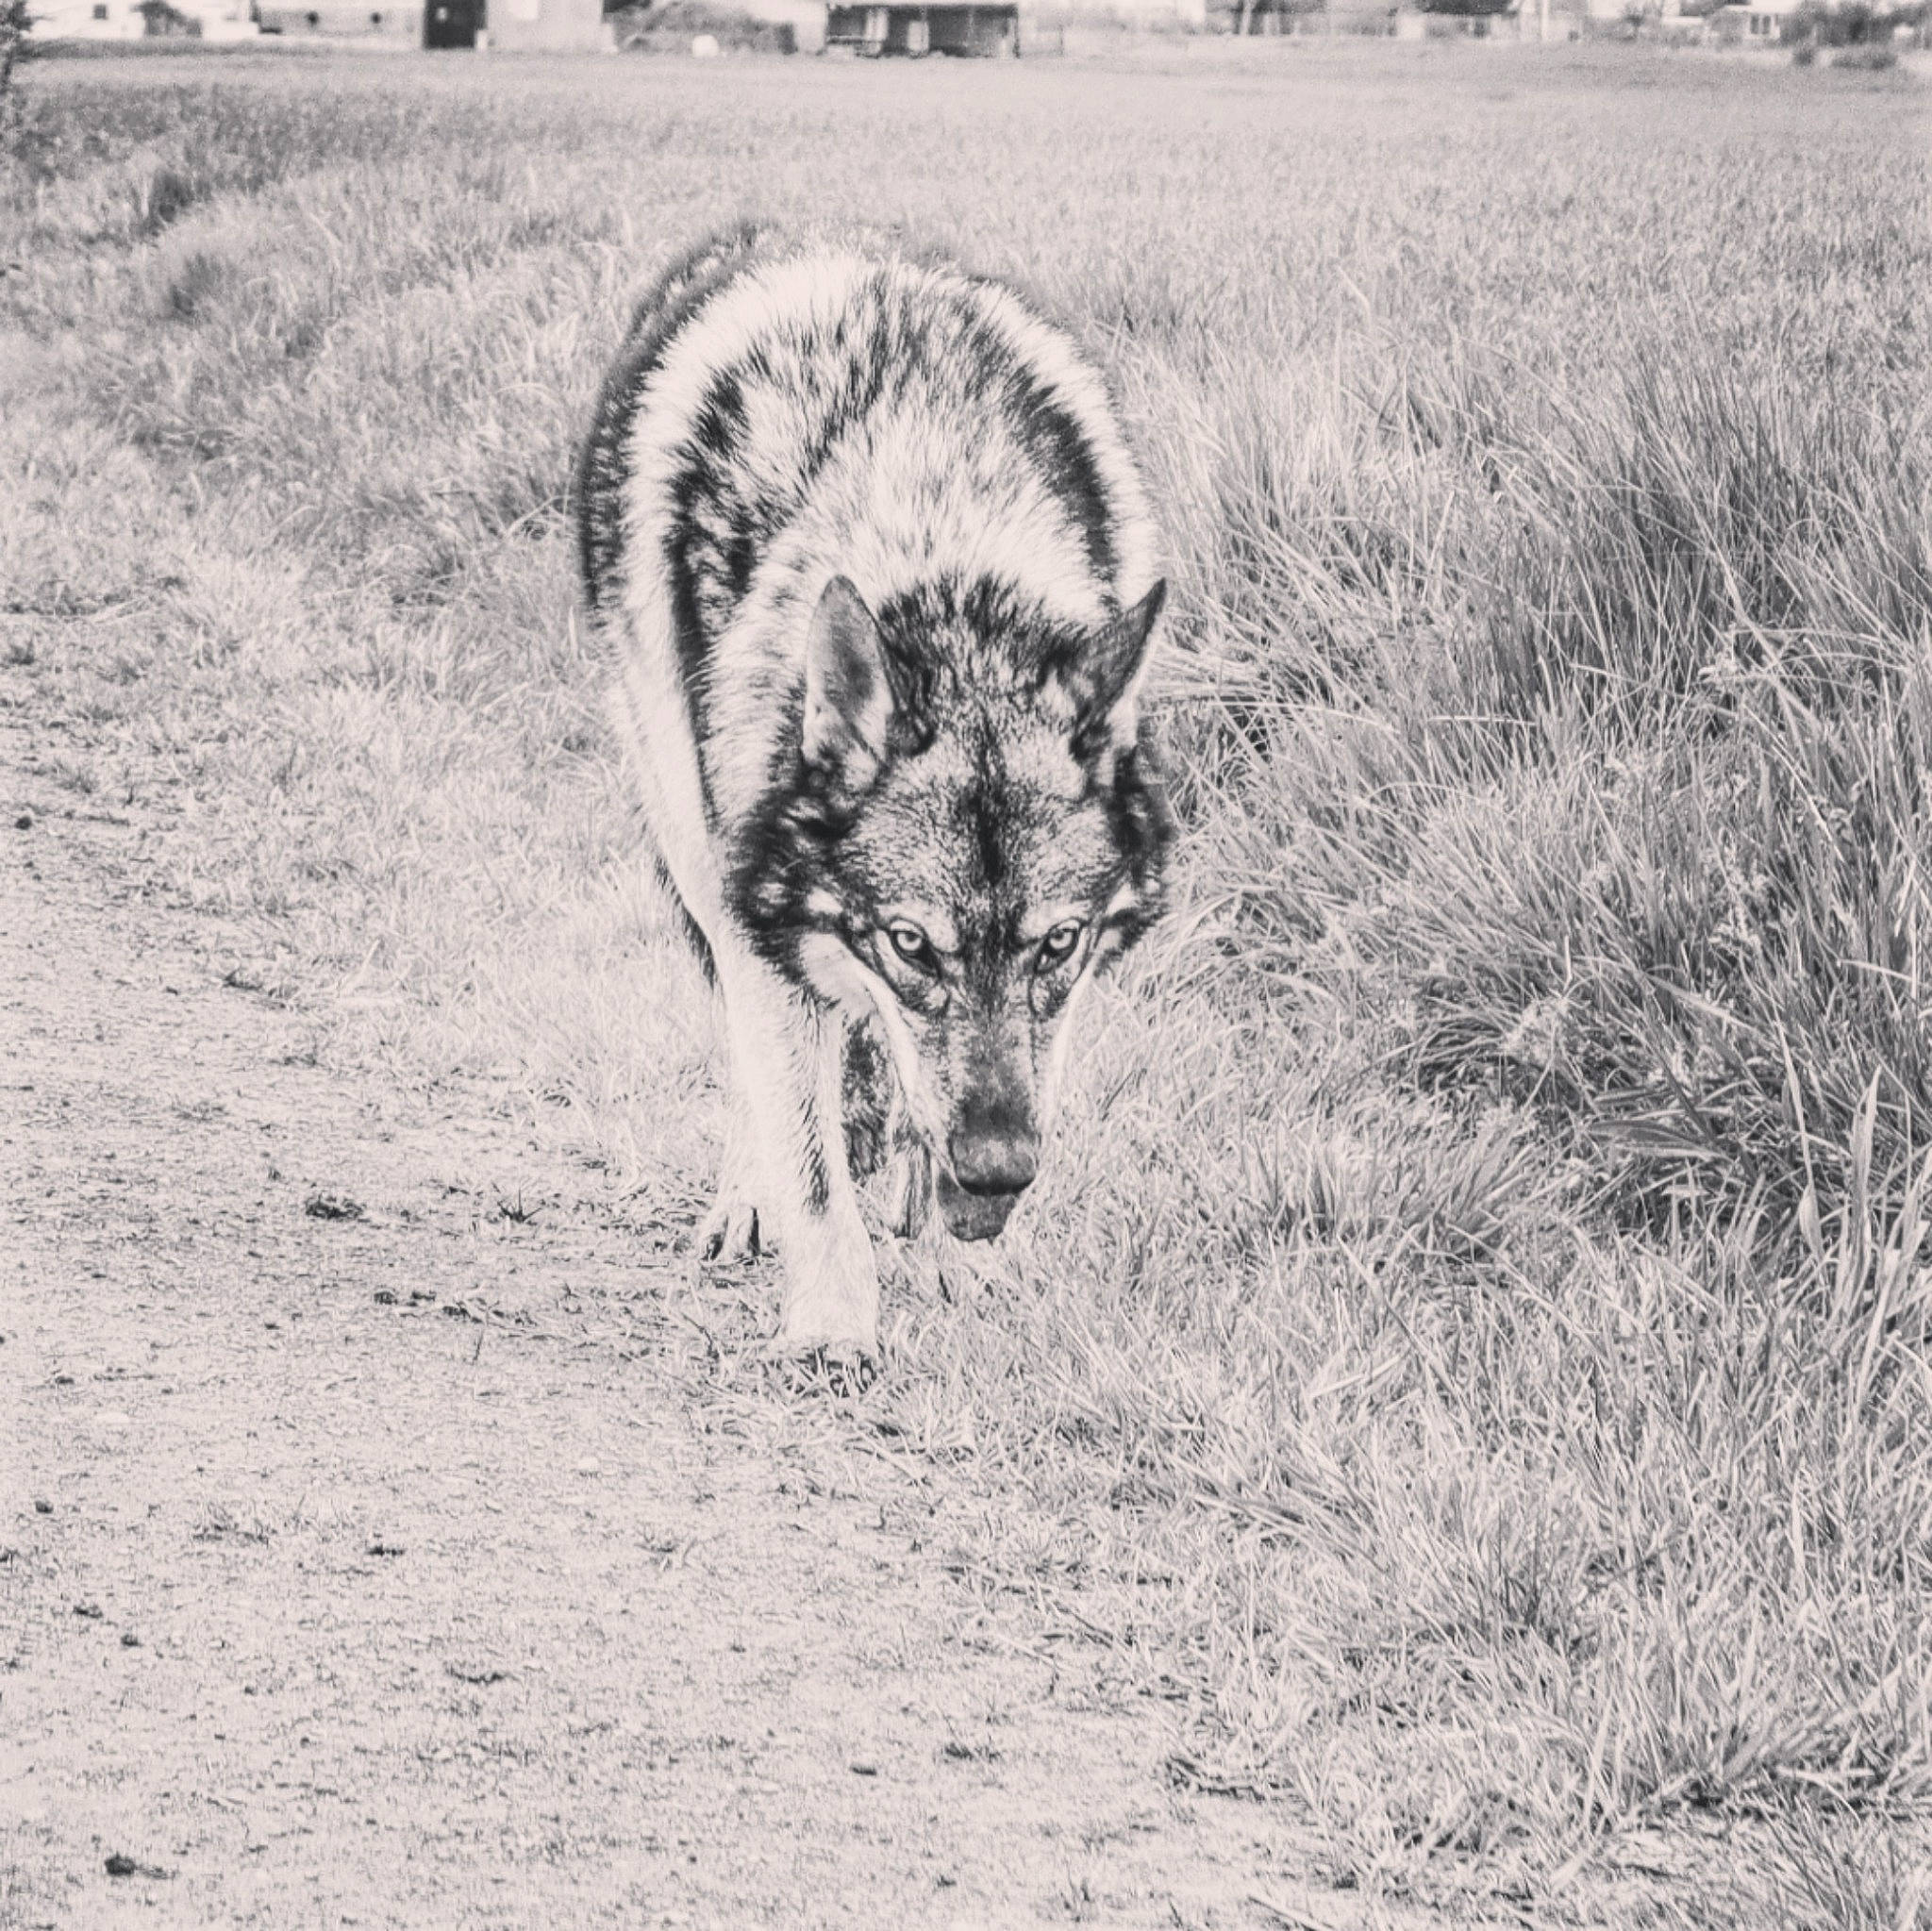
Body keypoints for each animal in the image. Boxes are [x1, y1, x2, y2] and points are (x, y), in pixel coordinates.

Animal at [573, 224, 1173, 1377]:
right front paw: (833, 1326)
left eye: (1058, 944)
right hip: (694, 848)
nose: (998, 1170)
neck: (932, 529)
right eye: (910, 943)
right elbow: (811, 1168)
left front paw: (954, 1258)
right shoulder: (763, 917)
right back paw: (750, 1200)